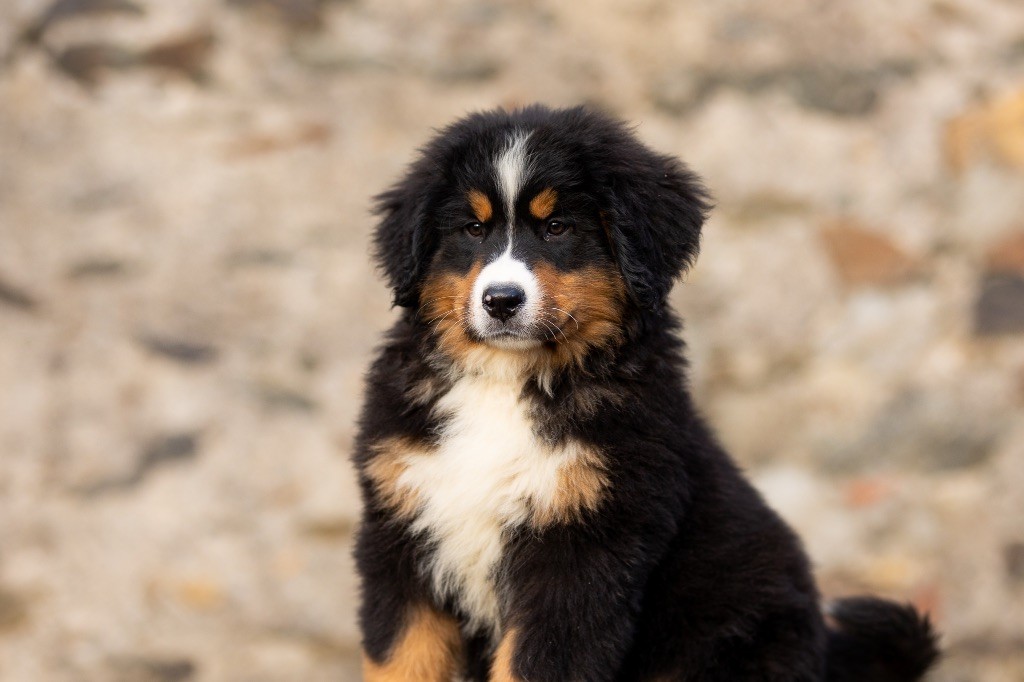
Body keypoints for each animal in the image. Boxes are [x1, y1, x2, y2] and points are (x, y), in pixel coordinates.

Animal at [350, 104, 937, 679]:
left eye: (557, 228)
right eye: (472, 229)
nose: (501, 300)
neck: (509, 382)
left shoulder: (584, 555)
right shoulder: (399, 535)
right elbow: (399, 659)